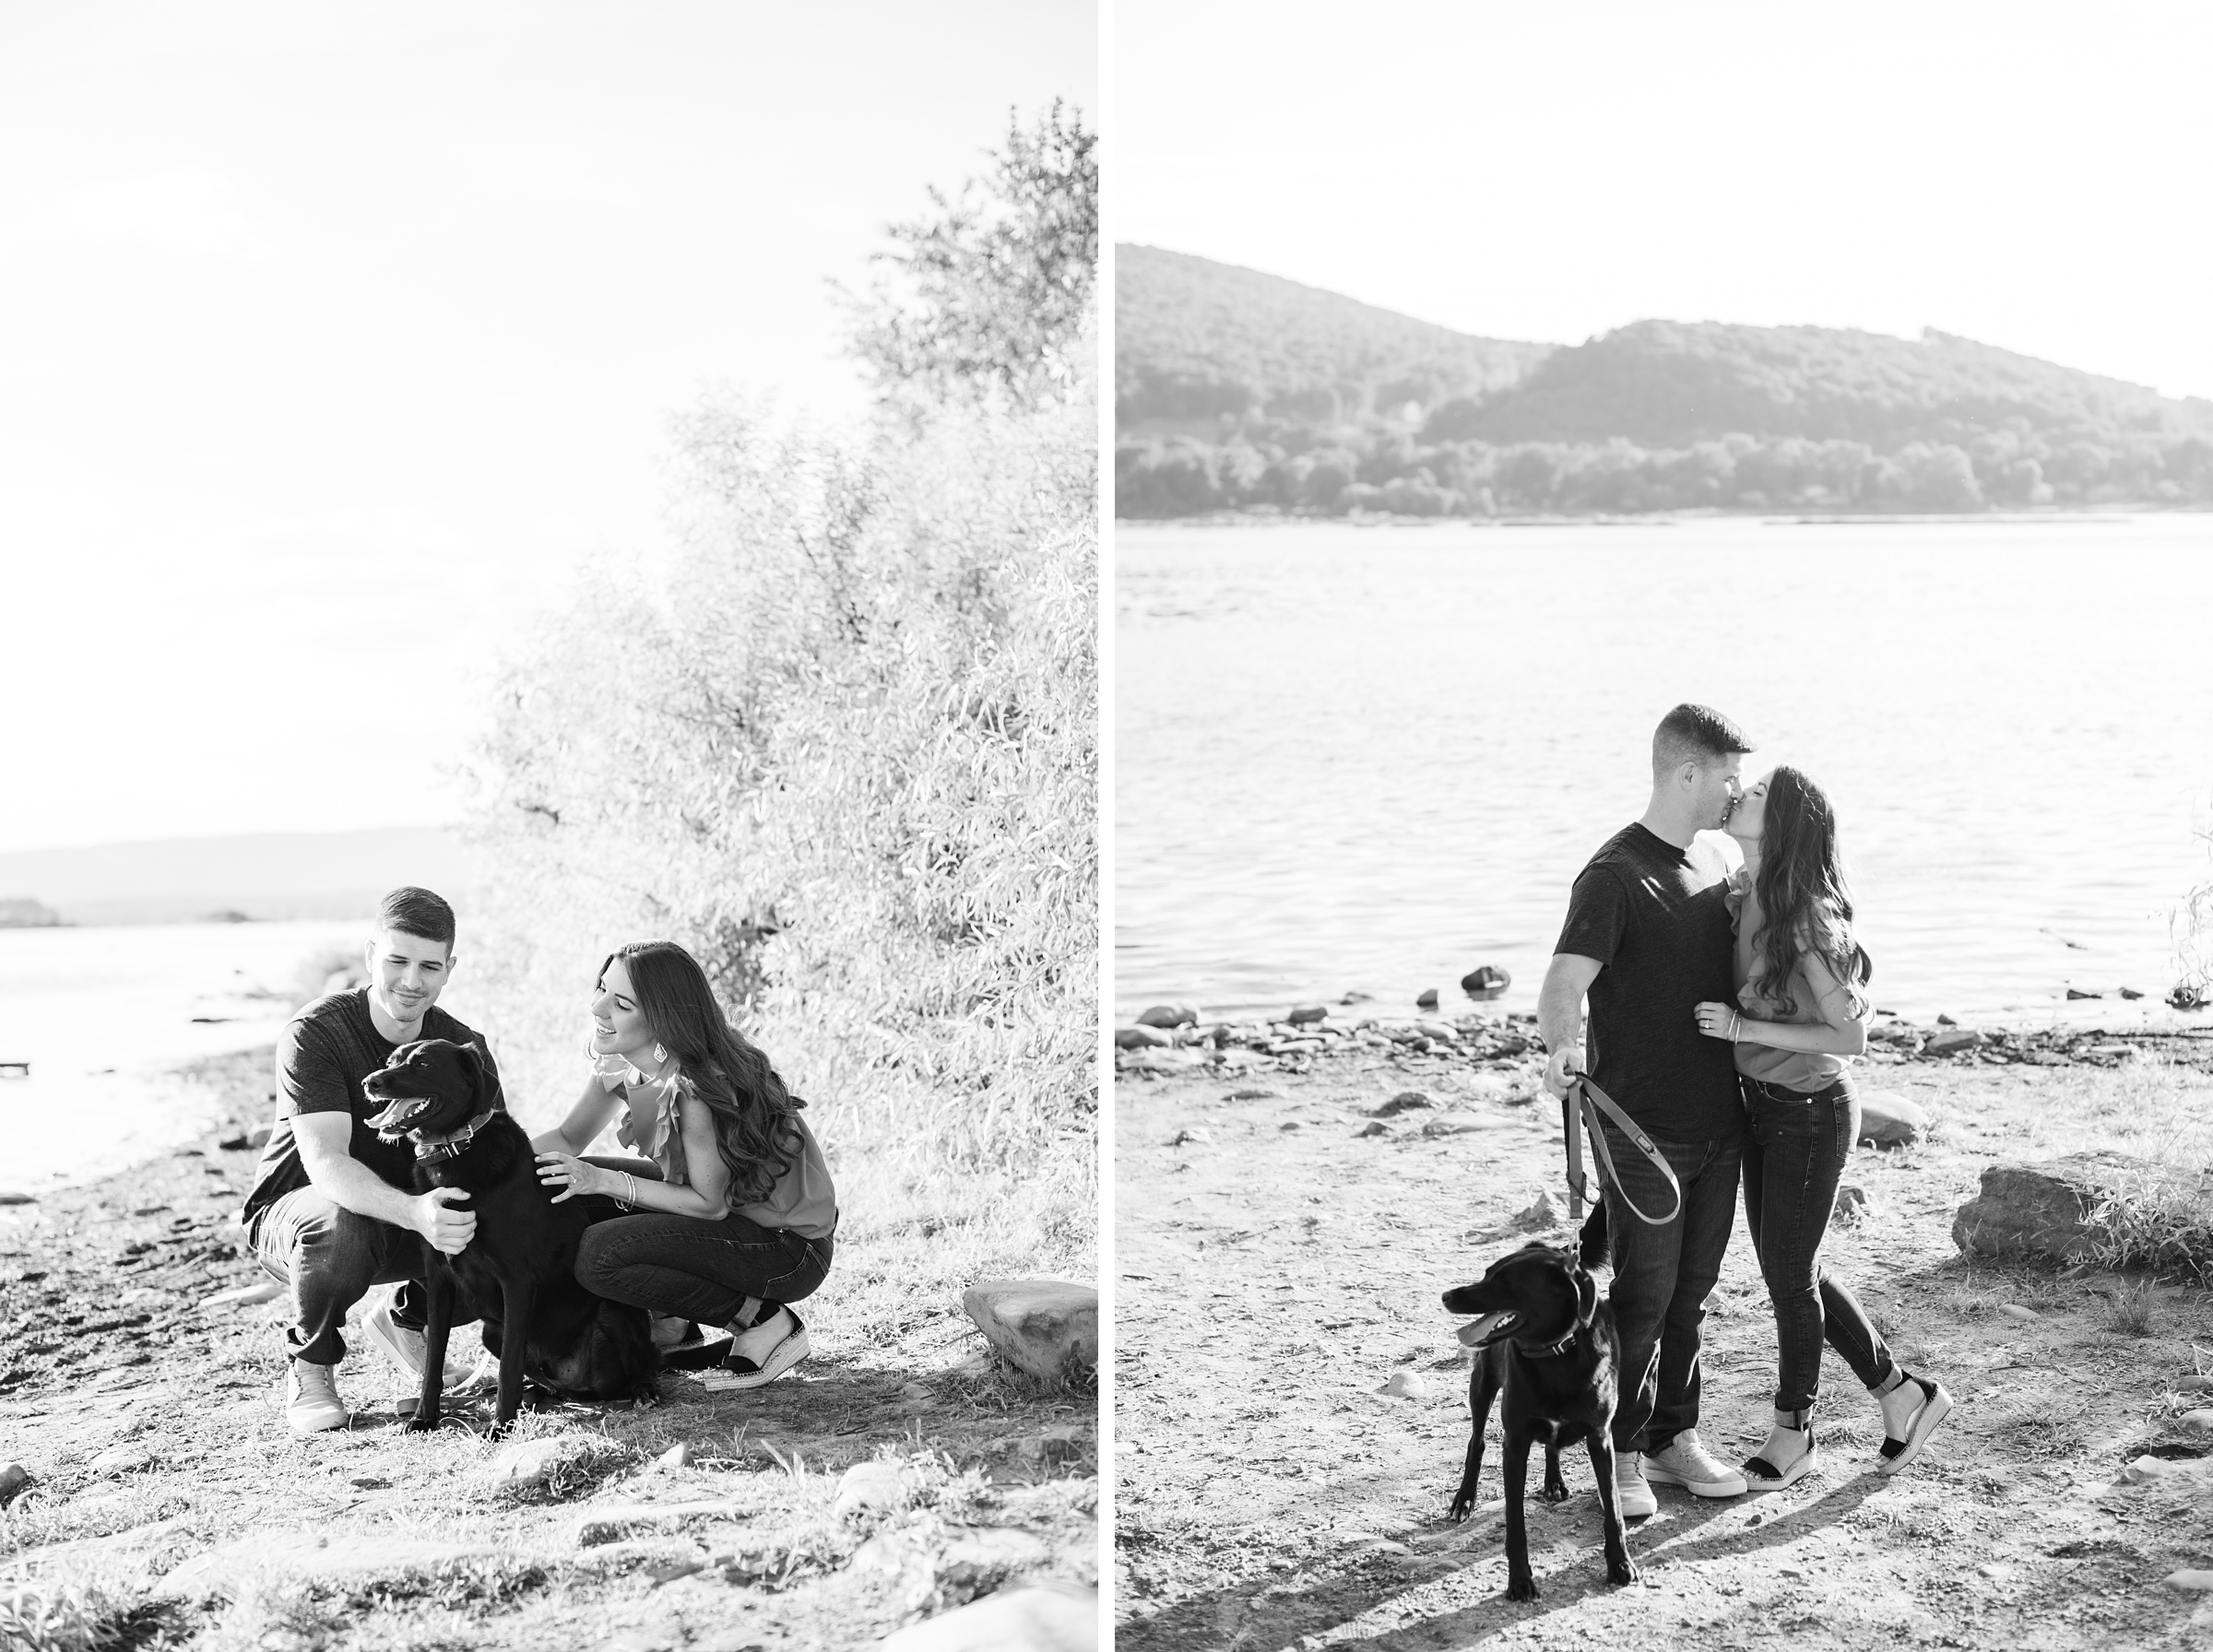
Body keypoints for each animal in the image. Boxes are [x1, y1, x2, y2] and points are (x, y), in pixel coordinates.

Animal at [358, 1048, 655, 1433]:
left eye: (423, 1063)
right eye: (391, 1060)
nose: (370, 1082)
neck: (455, 1151)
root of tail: (576, 1382)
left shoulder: (516, 1280)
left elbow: (508, 1367)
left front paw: (500, 1427)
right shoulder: (439, 1280)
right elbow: (434, 1361)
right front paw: (424, 1417)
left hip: (613, 1310)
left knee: (647, 1361)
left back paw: (642, 1390)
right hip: (490, 1333)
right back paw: (537, 1394)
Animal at [1442, 1238, 1638, 1600]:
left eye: (1504, 1281)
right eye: (1486, 1273)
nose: (1446, 1296)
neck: (1555, 1353)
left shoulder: (1601, 1437)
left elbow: (1613, 1509)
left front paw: (1620, 1563)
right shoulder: (1514, 1443)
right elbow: (1515, 1523)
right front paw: (1519, 1580)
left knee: (1551, 1445)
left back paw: (1553, 1482)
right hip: (1482, 1385)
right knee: (1476, 1442)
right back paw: (1464, 1499)